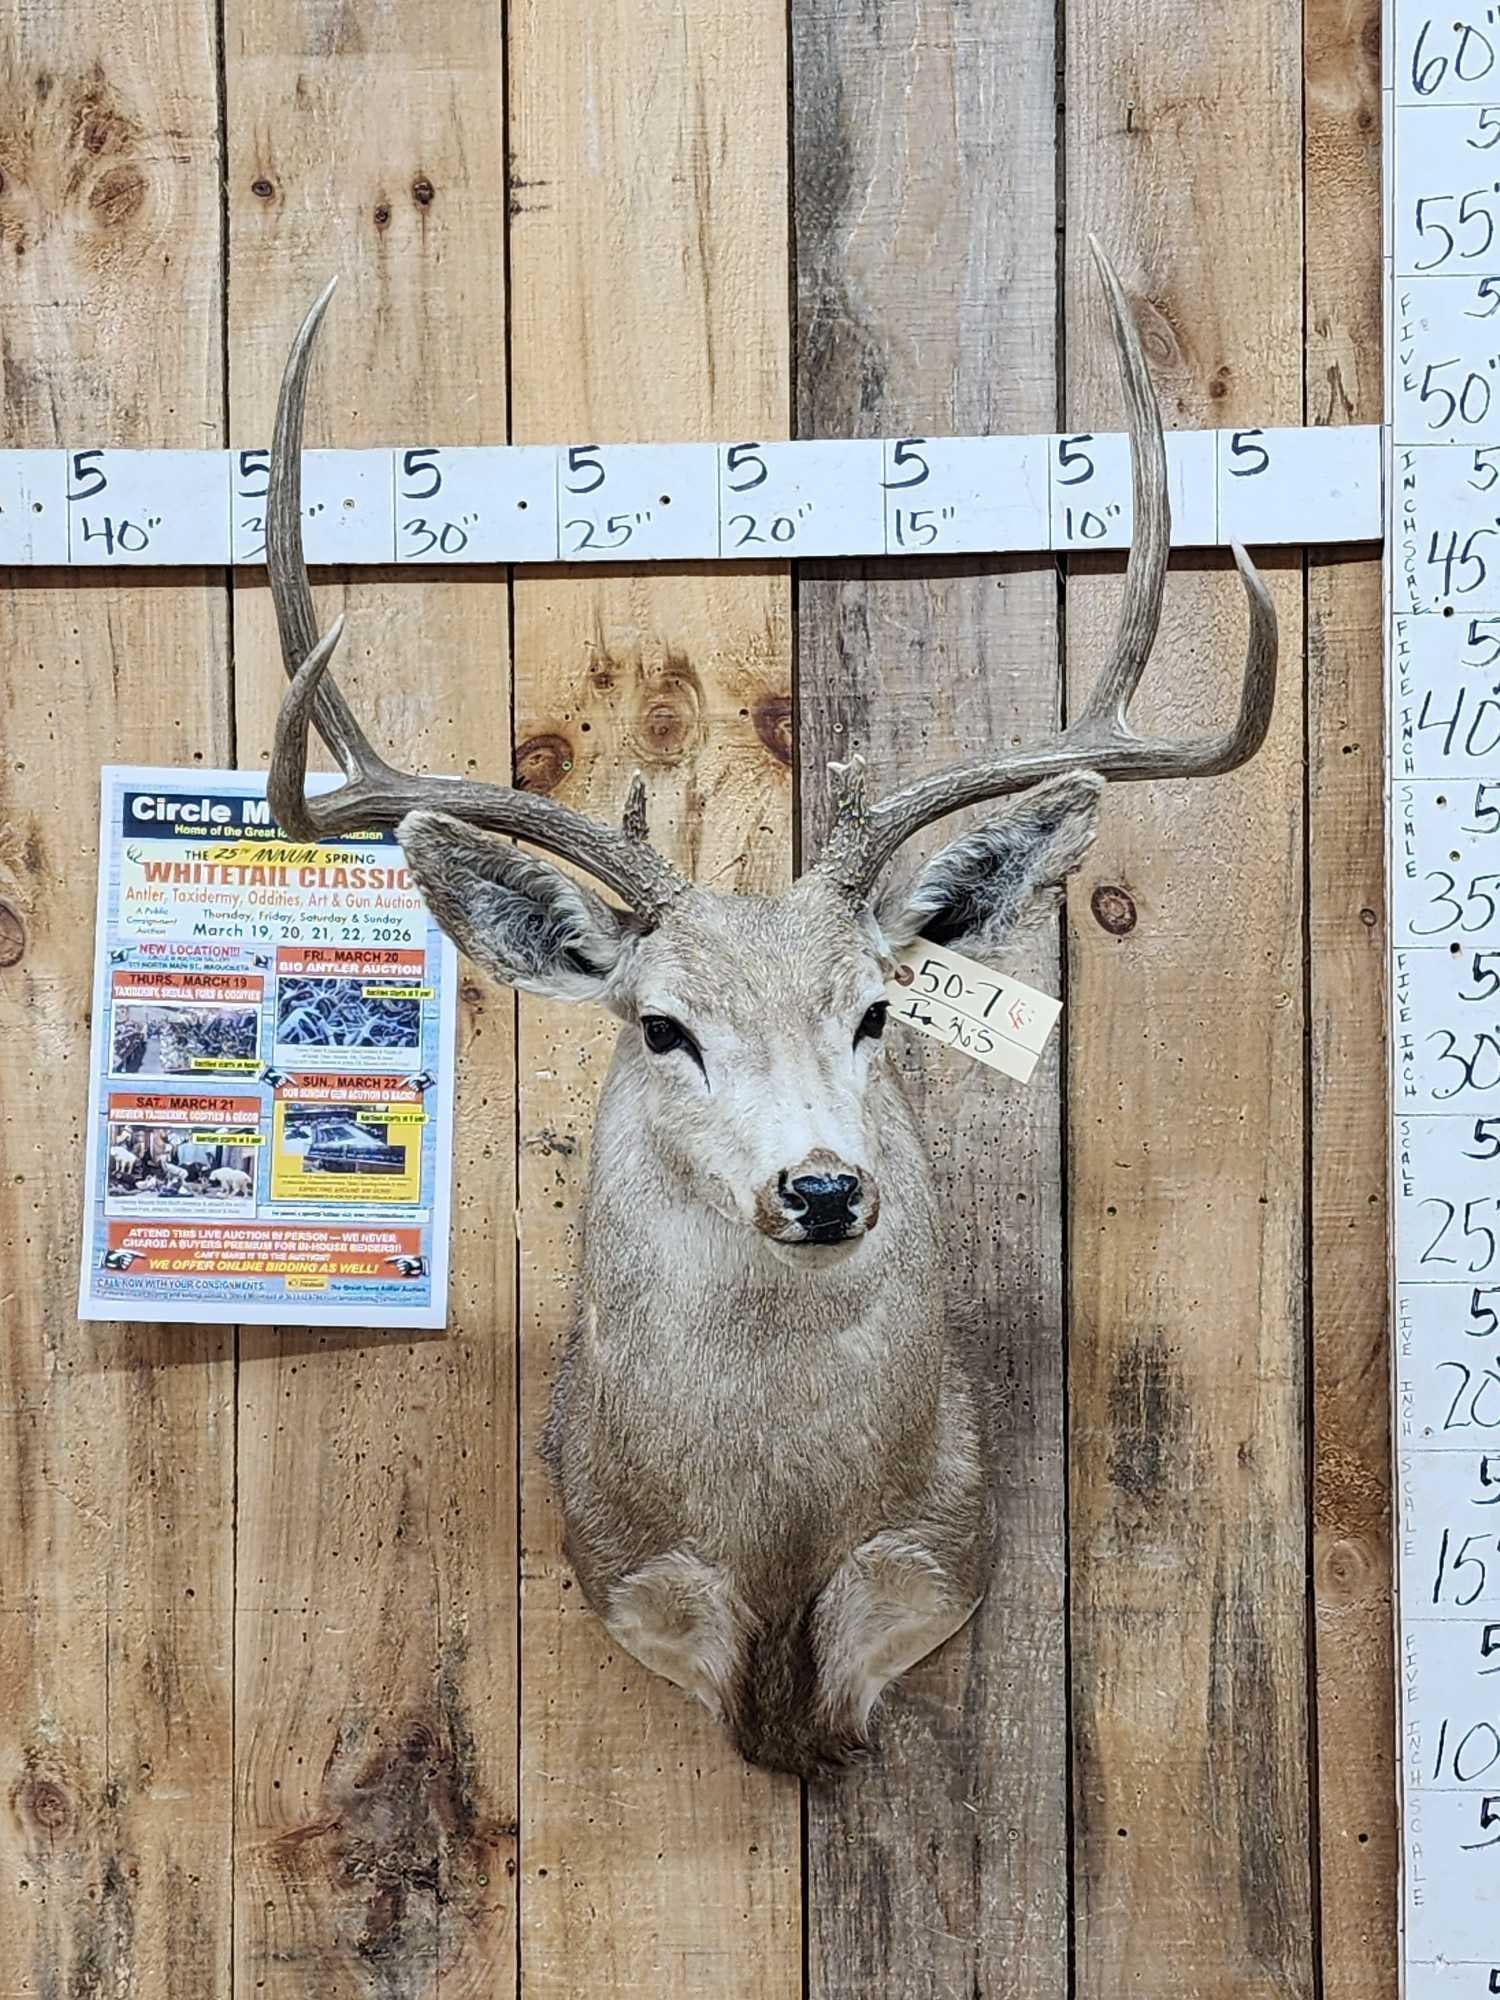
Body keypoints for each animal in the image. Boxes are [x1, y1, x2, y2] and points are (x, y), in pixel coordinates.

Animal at [257, 242, 1276, 1779]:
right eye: (662, 1026)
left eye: (876, 1012)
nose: (822, 1185)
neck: (781, 1549)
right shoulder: (621, 1557)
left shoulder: (933, 1545)